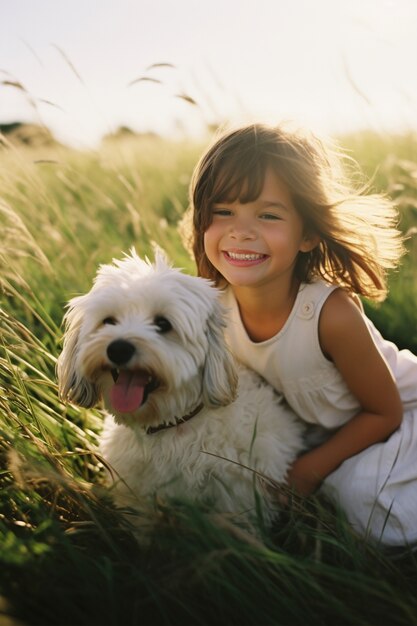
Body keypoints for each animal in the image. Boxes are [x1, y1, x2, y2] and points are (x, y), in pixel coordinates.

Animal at [57, 249, 302, 528]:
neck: (167, 427)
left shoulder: (238, 501)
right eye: (108, 321)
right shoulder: (136, 496)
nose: (118, 349)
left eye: (163, 324)